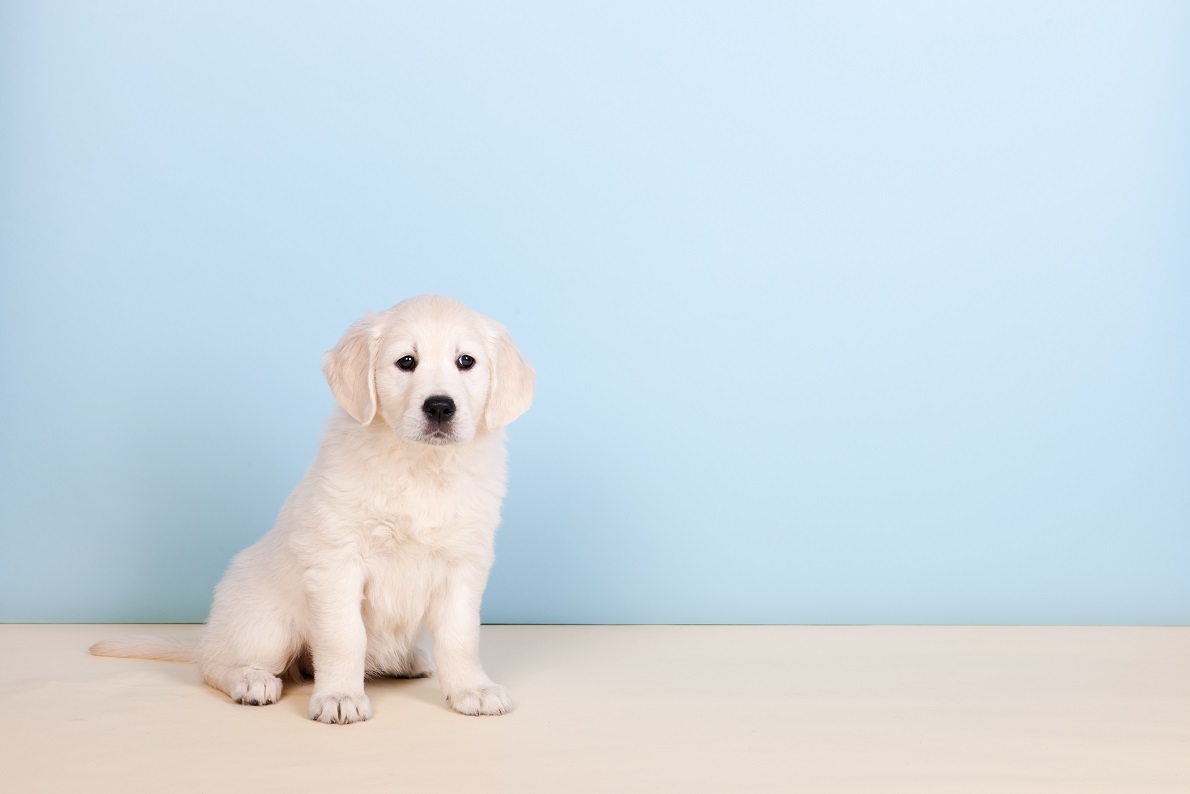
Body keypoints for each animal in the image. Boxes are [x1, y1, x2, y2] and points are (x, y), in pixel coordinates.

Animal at [90, 295, 537, 723]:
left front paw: (472, 689)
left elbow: (460, 637)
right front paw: (339, 696)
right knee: (214, 664)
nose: (441, 407)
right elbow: (344, 637)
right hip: (266, 627)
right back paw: (251, 679)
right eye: (406, 362)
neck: (419, 467)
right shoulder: (337, 560)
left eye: (467, 361)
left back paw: (405, 661)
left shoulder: (464, 564)